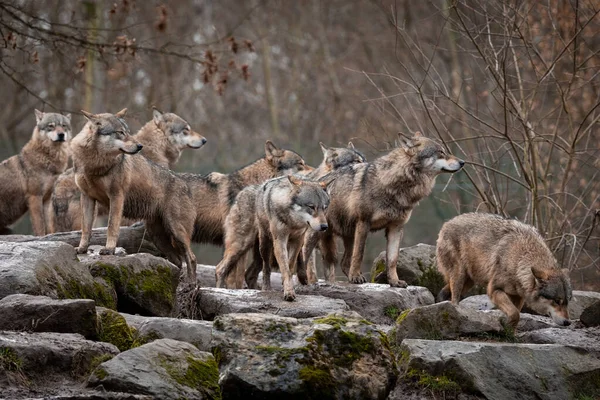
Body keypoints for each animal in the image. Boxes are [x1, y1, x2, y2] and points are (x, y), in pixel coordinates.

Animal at [0, 108, 72, 236]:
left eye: (63, 126)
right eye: (51, 126)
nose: (61, 134)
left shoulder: (47, 199)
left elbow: (48, 224)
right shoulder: (35, 197)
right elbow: (39, 225)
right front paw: (42, 237)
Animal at [70, 110, 197, 282]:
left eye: (128, 132)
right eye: (120, 132)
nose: (139, 146)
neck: (95, 164)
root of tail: (186, 186)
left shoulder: (117, 196)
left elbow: (111, 226)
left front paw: (109, 249)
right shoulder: (87, 197)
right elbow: (86, 228)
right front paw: (82, 248)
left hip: (176, 232)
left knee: (191, 257)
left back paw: (191, 284)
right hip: (157, 236)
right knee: (177, 260)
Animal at [300, 133, 464, 286]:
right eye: (441, 152)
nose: (462, 162)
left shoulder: (396, 227)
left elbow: (392, 259)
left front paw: (395, 282)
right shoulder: (363, 222)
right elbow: (359, 254)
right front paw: (356, 277)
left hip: (347, 234)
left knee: (343, 262)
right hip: (318, 235)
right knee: (306, 257)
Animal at [436, 212, 572, 328]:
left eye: (567, 301)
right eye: (557, 301)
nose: (568, 322)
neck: (520, 258)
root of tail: (447, 223)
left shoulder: (519, 296)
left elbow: (516, 313)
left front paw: (511, 332)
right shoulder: (494, 290)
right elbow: (515, 314)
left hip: (469, 282)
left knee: (445, 291)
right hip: (459, 275)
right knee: (454, 298)